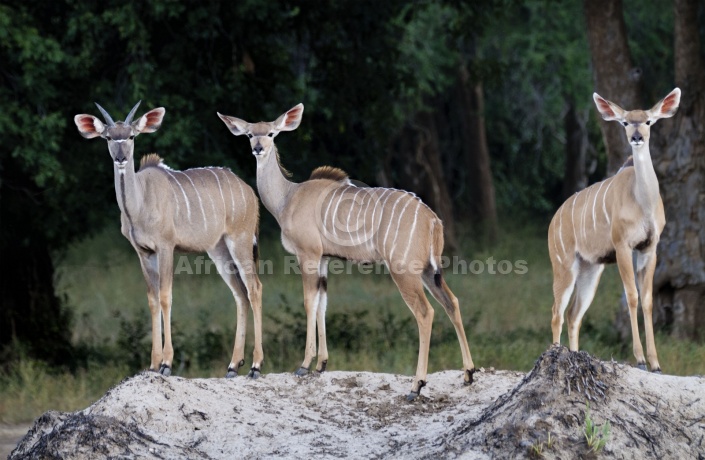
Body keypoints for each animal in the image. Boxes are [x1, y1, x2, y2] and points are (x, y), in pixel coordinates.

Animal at [73, 102, 264, 380]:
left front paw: (166, 364)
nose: (120, 158)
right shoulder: (143, 253)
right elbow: (152, 299)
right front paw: (153, 364)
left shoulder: (166, 247)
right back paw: (232, 365)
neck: (140, 203)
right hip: (219, 250)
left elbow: (165, 296)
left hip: (240, 242)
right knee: (240, 293)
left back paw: (255, 366)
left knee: (254, 288)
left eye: (131, 136)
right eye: (108, 137)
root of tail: (250, 192)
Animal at [217, 104, 476, 398]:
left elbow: (308, 302)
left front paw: (304, 365)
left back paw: (416, 385)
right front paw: (321, 365)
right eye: (250, 134)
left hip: (404, 271)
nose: (258, 148)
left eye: (271, 133)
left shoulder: (308, 255)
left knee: (425, 312)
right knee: (451, 302)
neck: (288, 198)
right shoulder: (324, 260)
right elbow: (322, 303)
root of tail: (432, 219)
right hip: (429, 271)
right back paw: (468, 373)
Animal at [548, 88, 680, 372]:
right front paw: (640, 359)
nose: (637, 137)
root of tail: (553, 222)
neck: (642, 202)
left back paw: (575, 356)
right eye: (625, 122)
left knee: (574, 314)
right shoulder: (622, 246)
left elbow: (648, 300)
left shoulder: (650, 248)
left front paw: (656, 363)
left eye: (649, 121)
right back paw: (554, 356)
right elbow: (632, 296)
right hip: (564, 265)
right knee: (557, 312)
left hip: (590, 268)